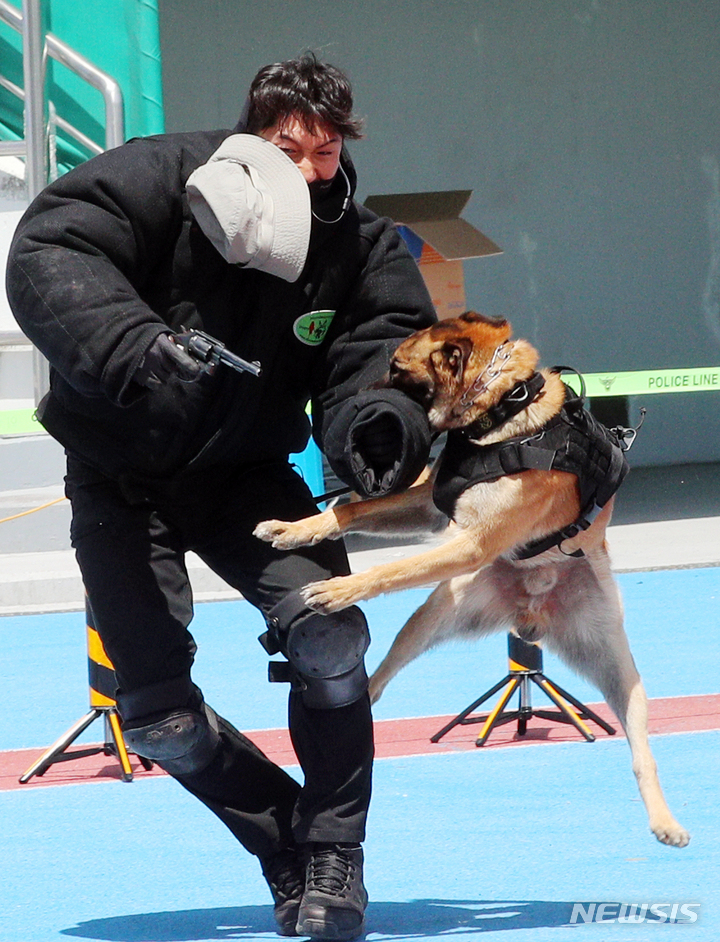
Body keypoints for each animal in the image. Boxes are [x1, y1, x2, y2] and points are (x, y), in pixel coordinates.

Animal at [256, 316, 688, 848]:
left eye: (396, 367)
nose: (350, 410)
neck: (504, 408)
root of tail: (532, 609)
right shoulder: (429, 504)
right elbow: (350, 511)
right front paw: (296, 528)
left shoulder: (472, 545)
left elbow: (386, 570)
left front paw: (338, 590)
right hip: (430, 618)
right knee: (379, 677)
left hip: (620, 675)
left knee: (641, 755)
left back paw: (665, 822)